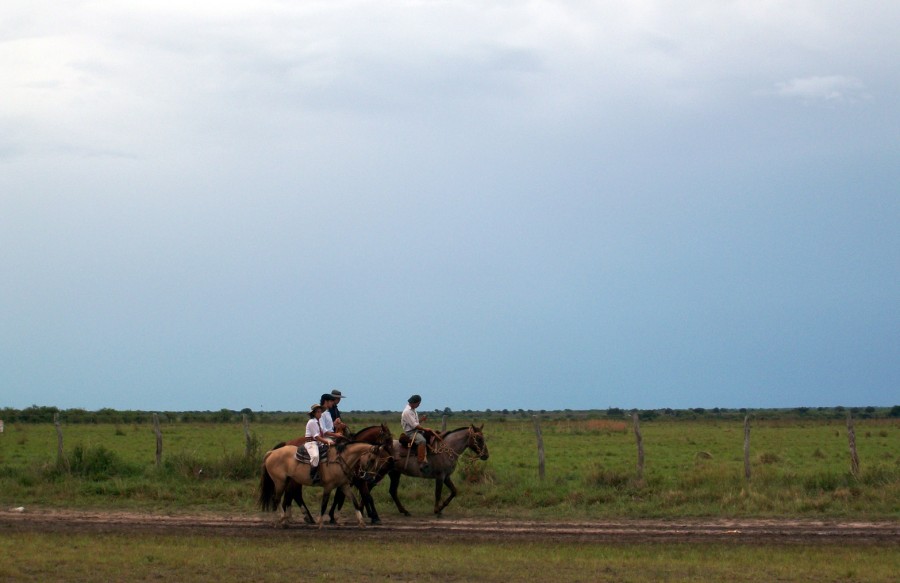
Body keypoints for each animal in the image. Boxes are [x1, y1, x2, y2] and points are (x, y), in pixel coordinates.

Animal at [255, 438, 392, 528]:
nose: (370, 477)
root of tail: (272, 453)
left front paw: (361, 522)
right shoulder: (328, 486)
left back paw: (285, 520)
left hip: (288, 481)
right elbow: (324, 504)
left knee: (287, 497)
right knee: (276, 498)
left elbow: (354, 501)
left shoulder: (344, 485)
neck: (340, 459)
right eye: (372, 459)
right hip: (280, 482)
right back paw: (281, 519)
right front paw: (321, 522)